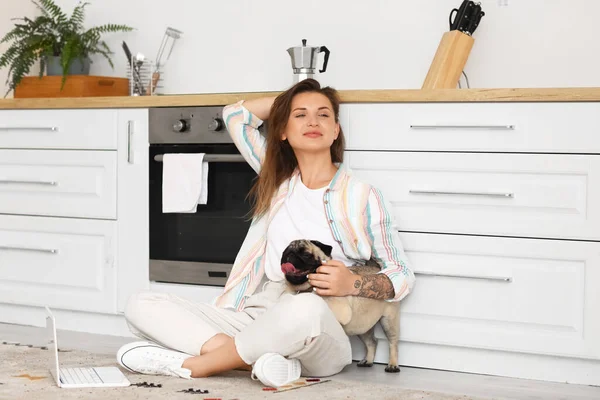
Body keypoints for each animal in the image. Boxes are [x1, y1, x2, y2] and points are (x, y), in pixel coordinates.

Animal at [282, 238, 404, 372]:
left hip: (389, 321)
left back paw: (392, 365)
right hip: (362, 327)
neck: (307, 287)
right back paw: (368, 361)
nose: (289, 255)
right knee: (372, 342)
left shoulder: (340, 310)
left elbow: (318, 299)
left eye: (305, 254)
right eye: (284, 252)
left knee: (393, 343)